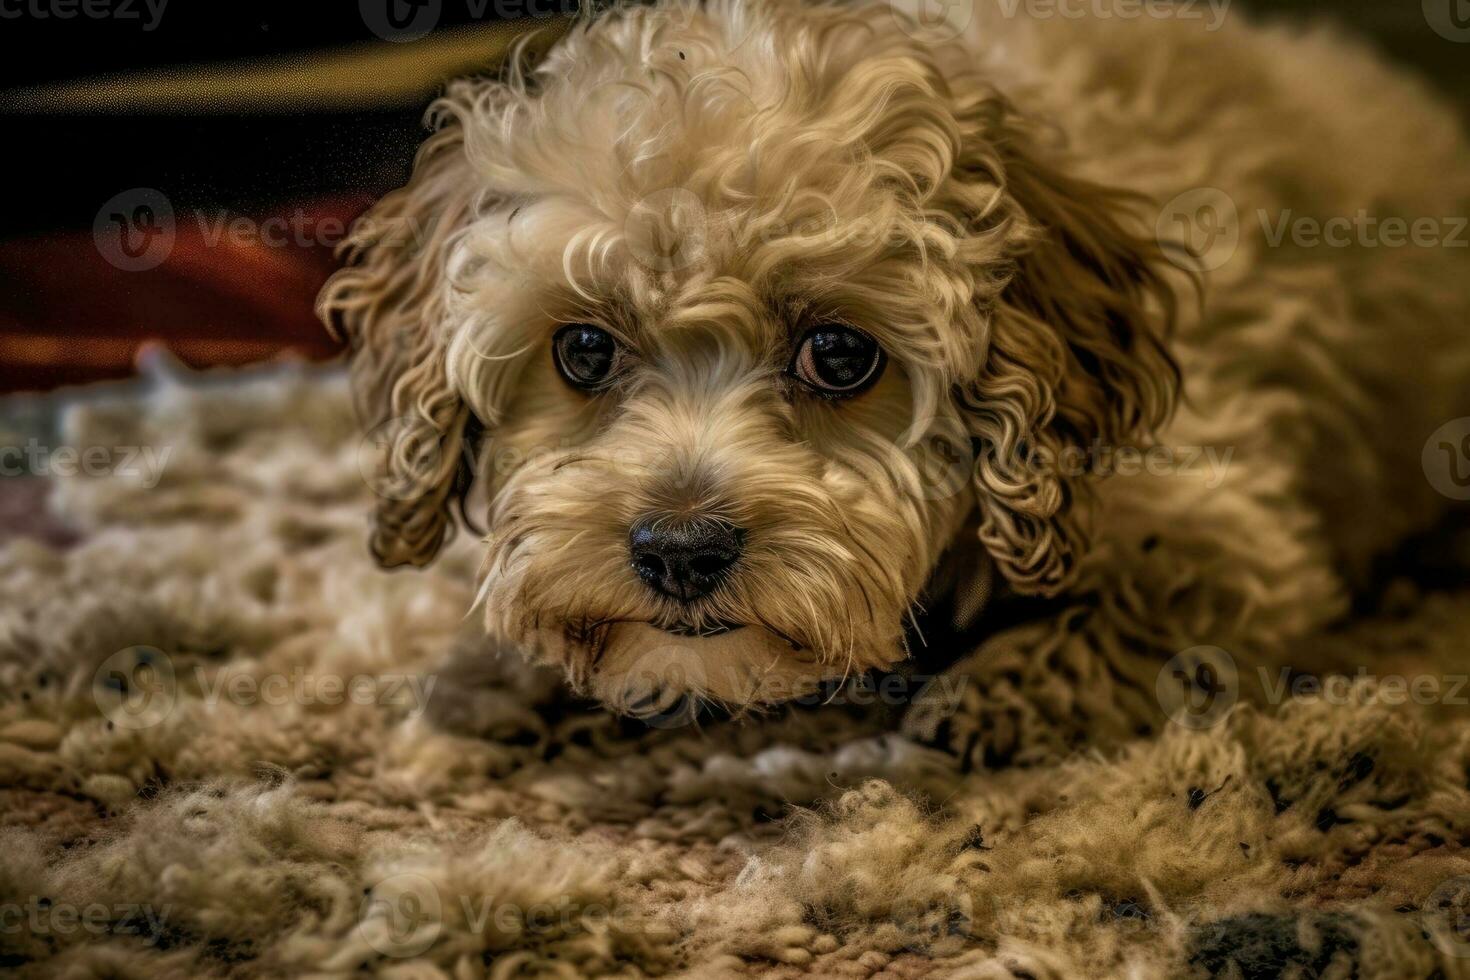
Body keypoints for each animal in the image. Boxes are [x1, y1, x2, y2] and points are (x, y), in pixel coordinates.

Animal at [318, 0, 1470, 764]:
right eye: (585, 352)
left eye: (840, 355)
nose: (679, 552)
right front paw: (487, 671)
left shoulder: (1233, 537)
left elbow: (1144, 612)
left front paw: (997, 690)